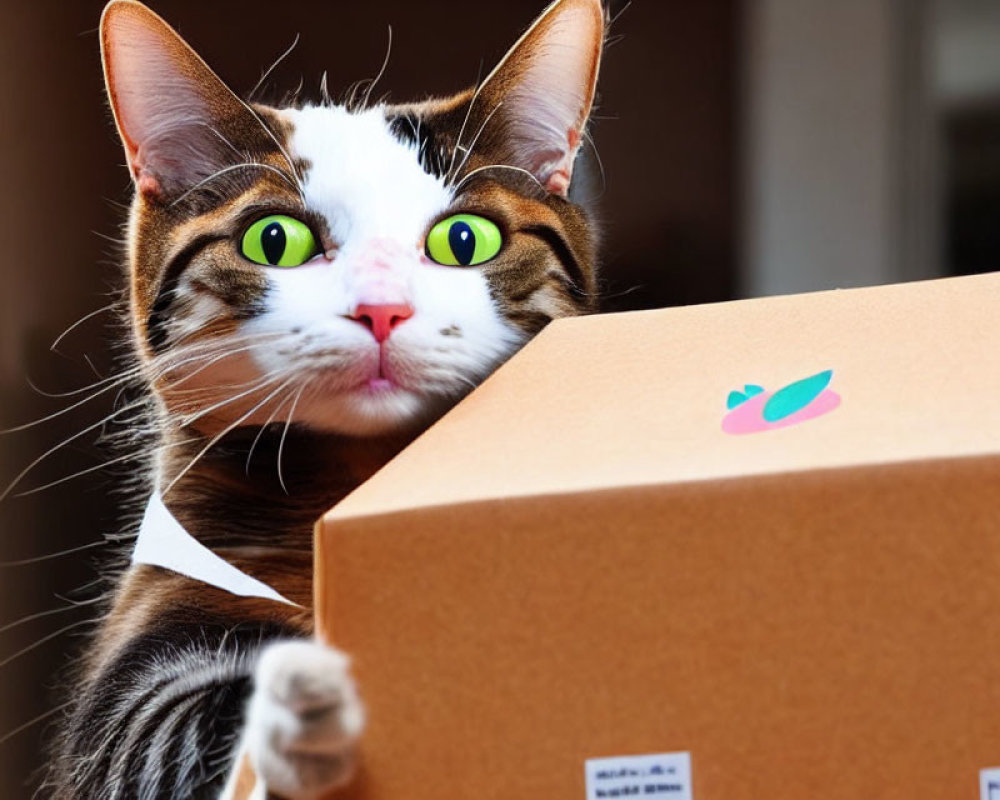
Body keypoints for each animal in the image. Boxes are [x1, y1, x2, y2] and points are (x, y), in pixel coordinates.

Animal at [45, 0, 600, 796]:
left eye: (466, 239)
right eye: (274, 240)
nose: (381, 309)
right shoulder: (155, 612)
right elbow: (152, 741)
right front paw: (309, 696)